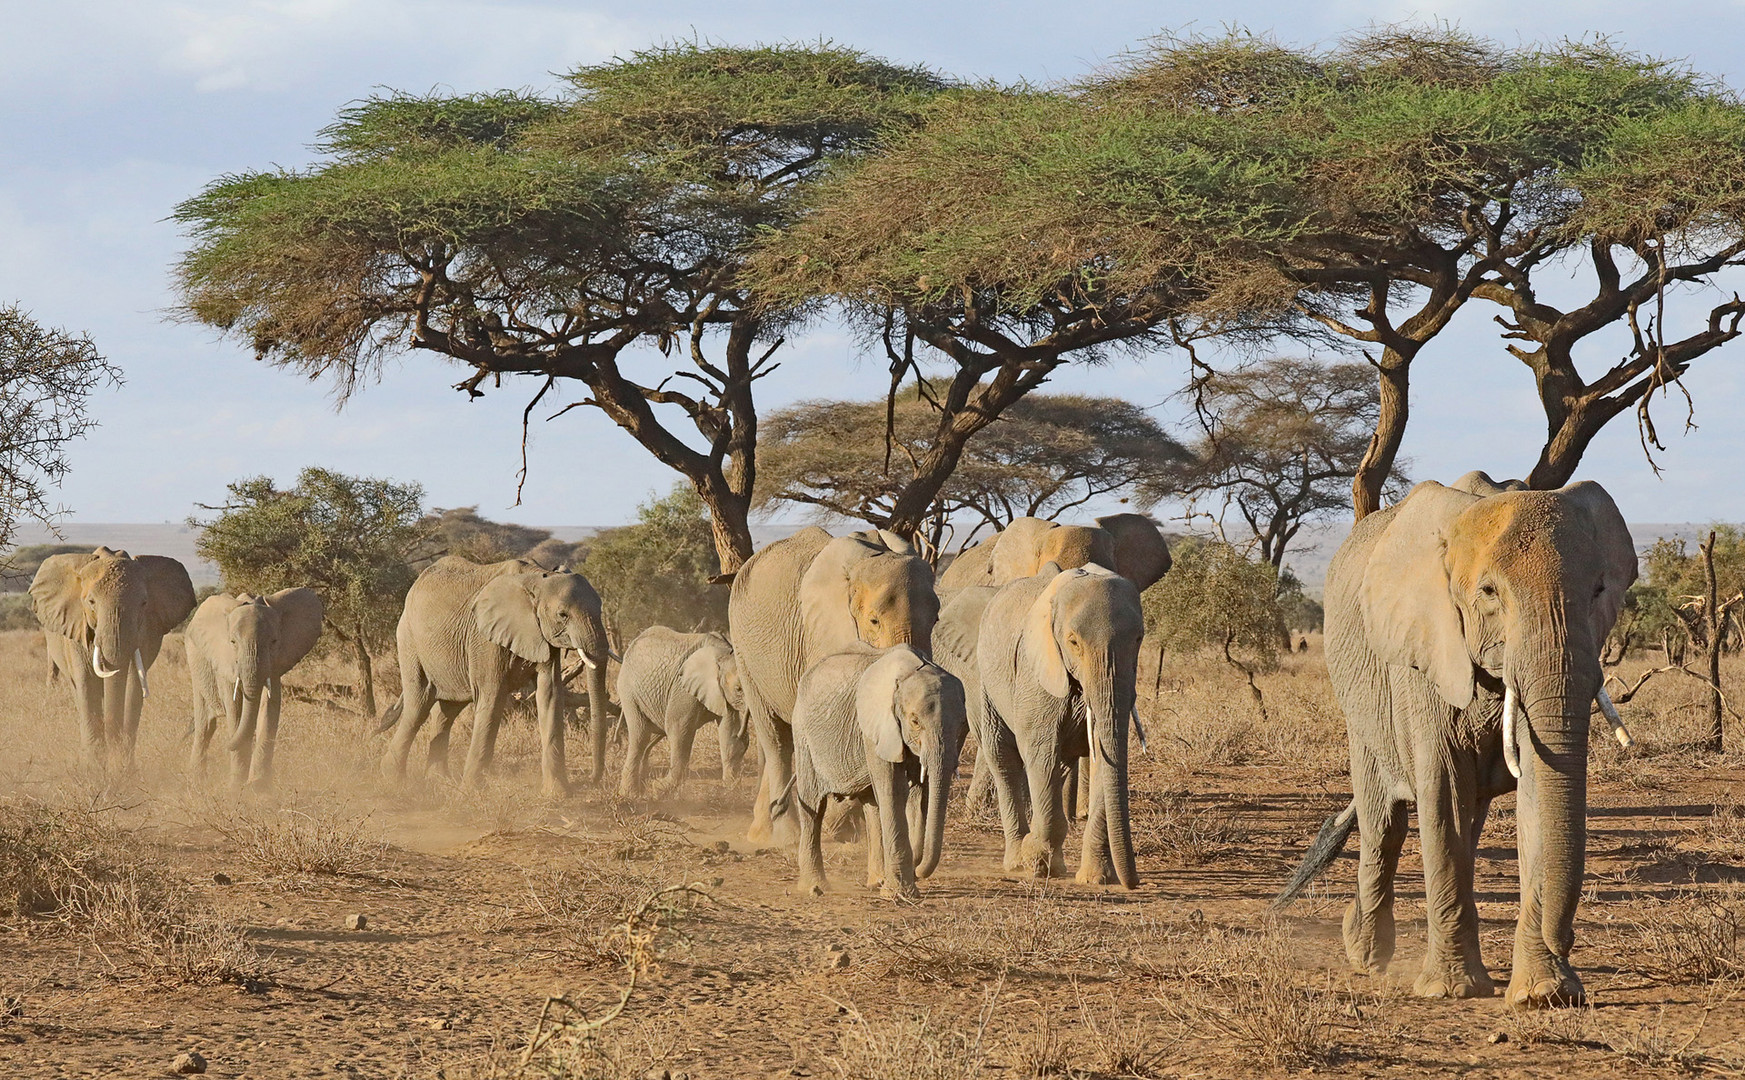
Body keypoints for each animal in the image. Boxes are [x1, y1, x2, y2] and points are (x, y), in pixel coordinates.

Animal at [188, 586, 328, 788]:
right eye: (233, 642)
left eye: (274, 642)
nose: (226, 746)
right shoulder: (225, 661)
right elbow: (236, 710)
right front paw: (236, 786)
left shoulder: (276, 663)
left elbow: (269, 706)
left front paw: (259, 786)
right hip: (195, 665)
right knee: (204, 725)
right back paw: (196, 781)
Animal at [614, 628, 750, 799]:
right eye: (738, 688)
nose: (745, 736)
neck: (723, 653)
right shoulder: (682, 688)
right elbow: (678, 728)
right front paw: (659, 788)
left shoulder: (722, 694)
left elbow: (728, 731)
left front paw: (731, 787)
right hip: (628, 691)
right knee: (640, 735)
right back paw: (630, 794)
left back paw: (642, 786)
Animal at [788, 645, 970, 900]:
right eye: (915, 721)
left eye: (963, 724)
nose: (919, 870)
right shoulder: (877, 729)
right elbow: (894, 789)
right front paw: (898, 894)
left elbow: (920, 792)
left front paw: (897, 884)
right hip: (803, 734)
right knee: (813, 806)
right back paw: (815, 887)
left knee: (872, 805)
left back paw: (876, 881)